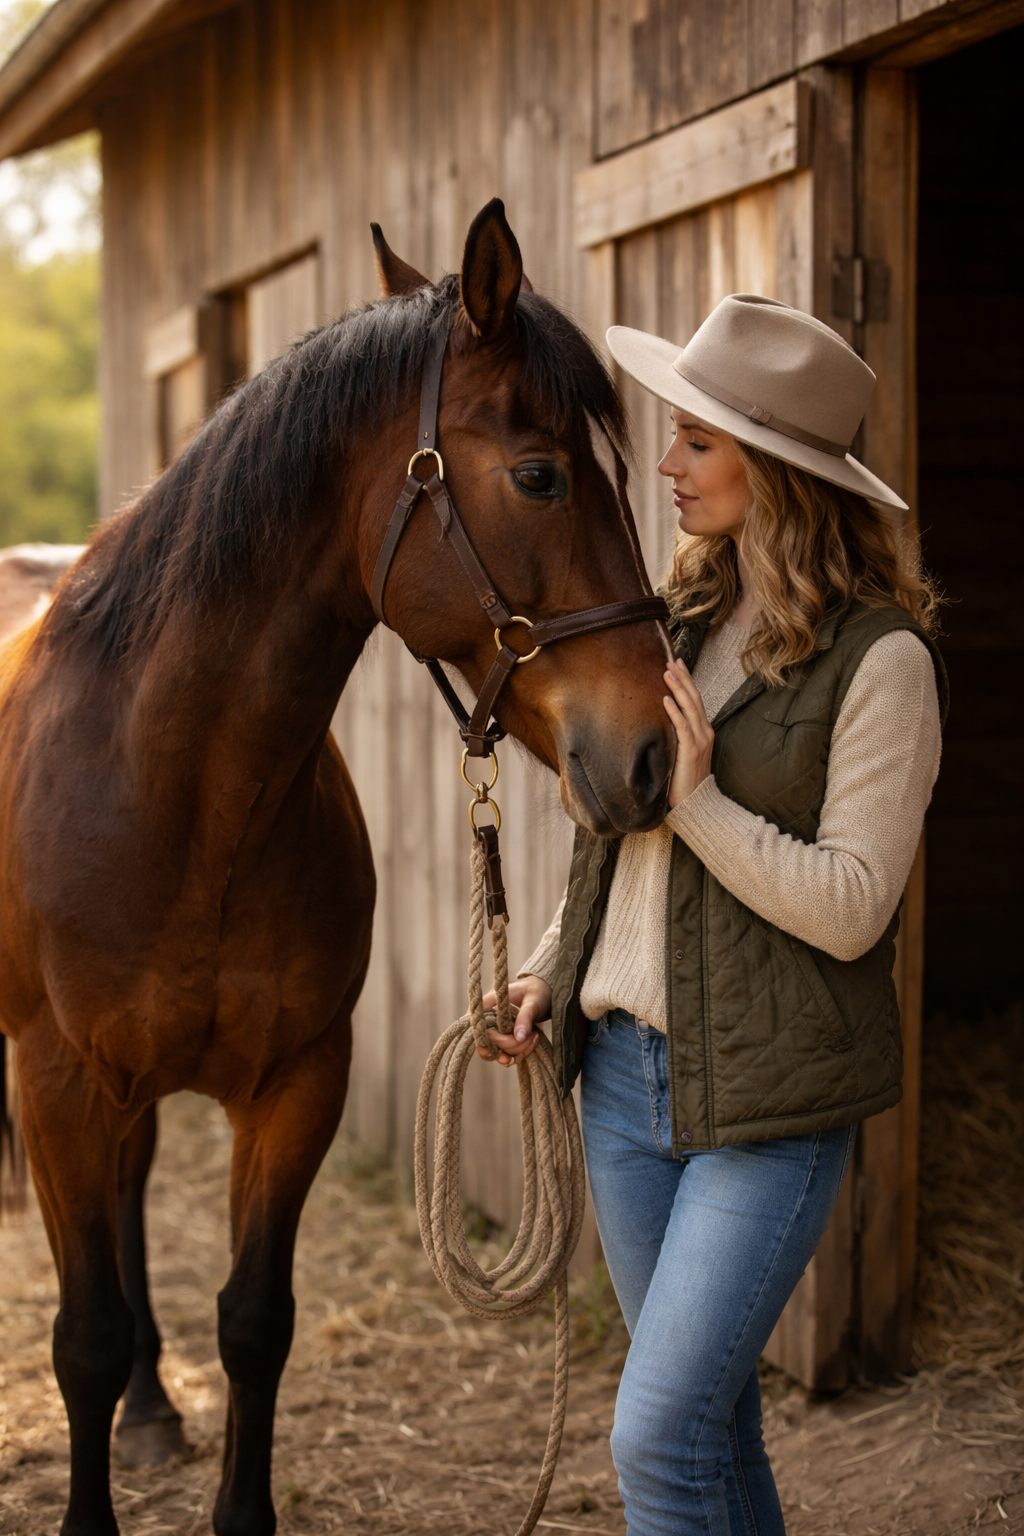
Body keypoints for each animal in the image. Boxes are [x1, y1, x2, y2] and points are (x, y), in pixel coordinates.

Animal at [0, 199, 673, 1536]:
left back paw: (155, 1413)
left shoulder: (300, 1080)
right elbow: (80, 1338)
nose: (651, 752)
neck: (179, 799)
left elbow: (255, 1324)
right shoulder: (56, 1084)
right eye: (541, 474)